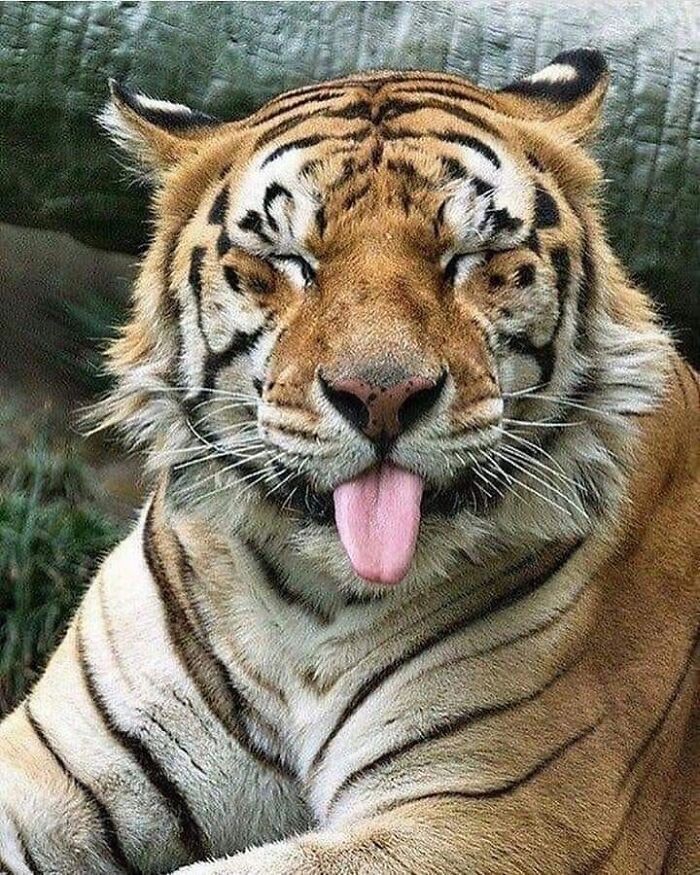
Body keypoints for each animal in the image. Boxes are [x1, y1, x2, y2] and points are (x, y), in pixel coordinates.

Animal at [0, 46, 697, 875]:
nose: (382, 395)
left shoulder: (501, 816)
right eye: (289, 259)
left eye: (470, 256)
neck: (308, 603)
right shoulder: (56, 762)